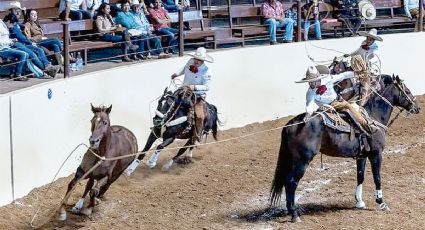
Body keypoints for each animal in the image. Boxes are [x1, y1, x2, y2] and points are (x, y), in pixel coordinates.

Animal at [270, 75, 420, 223]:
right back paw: (295, 214)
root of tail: (293, 123)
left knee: (287, 182)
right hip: (302, 160)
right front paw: (382, 203)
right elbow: (377, 177)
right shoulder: (376, 154)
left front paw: (359, 202)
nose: (417, 107)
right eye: (407, 90)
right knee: (291, 182)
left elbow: (360, 176)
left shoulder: (362, 156)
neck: (374, 116)